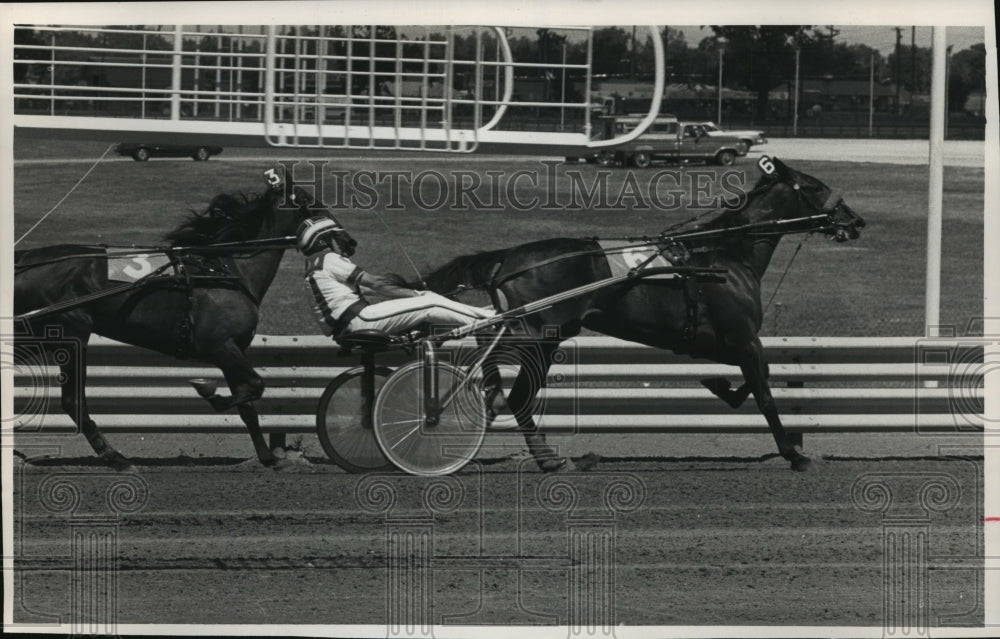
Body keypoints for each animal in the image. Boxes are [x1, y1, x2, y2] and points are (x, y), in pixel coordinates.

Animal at [13, 169, 356, 470]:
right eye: (311, 203)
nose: (349, 242)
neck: (226, 270)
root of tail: (24, 260)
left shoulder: (232, 350)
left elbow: (248, 405)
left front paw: (269, 457)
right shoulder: (221, 346)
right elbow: (254, 386)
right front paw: (210, 393)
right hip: (70, 335)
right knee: (73, 401)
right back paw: (116, 458)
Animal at [418, 158, 864, 472]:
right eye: (815, 186)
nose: (855, 220)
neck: (724, 253)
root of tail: (508, 258)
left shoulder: (714, 342)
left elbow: (748, 383)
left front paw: (718, 384)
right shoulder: (743, 338)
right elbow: (765, 393)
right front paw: (794, 454)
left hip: (531, 331)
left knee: (490, 353)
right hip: (540, 336)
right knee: (516, 390)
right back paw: (546, 455)